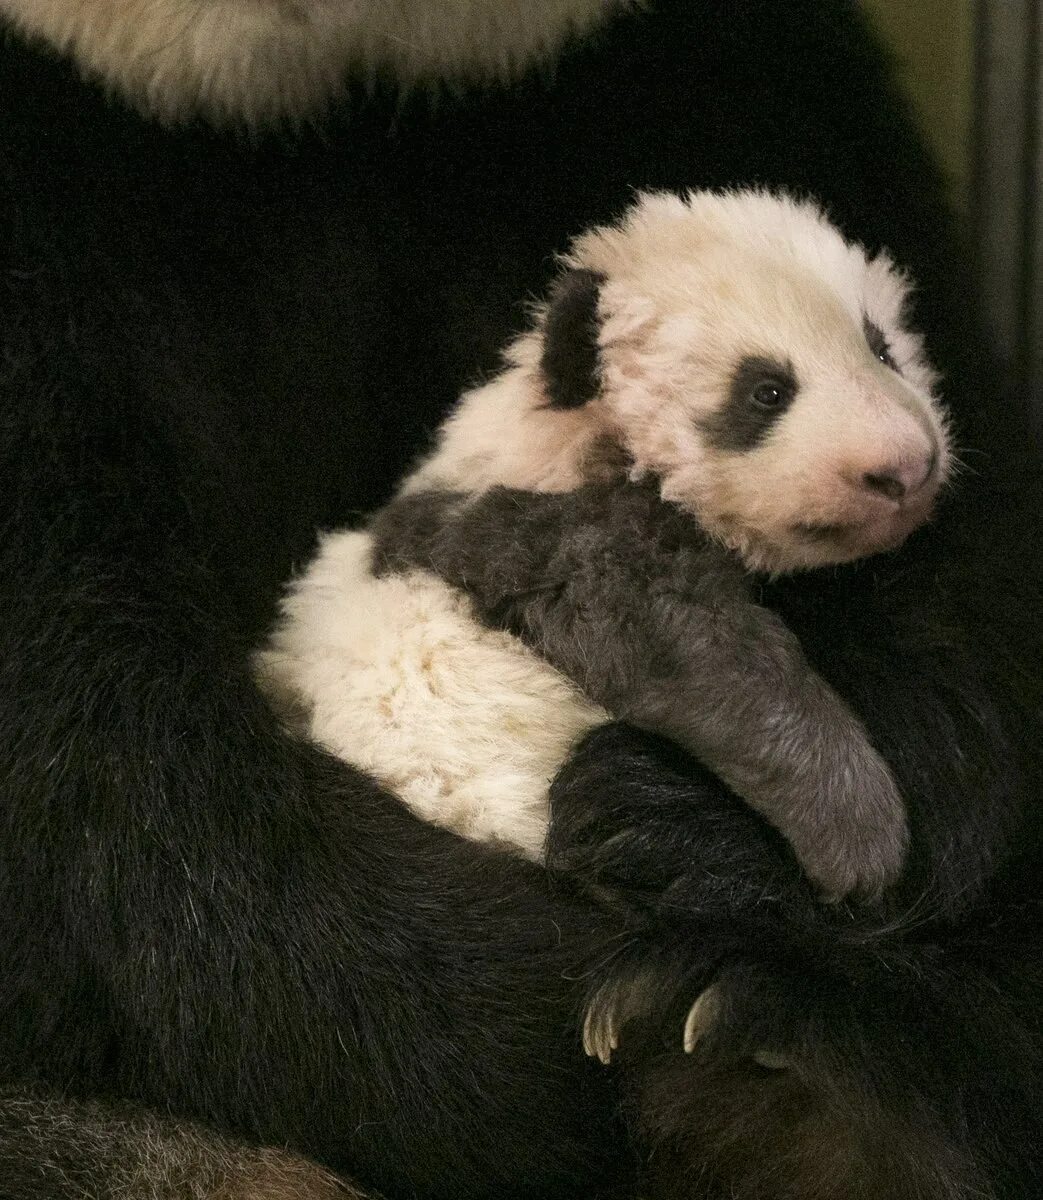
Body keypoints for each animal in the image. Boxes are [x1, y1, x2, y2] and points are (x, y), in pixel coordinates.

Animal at [0, 2, 1036, 1200]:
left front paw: (691, 835)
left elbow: (965, 623)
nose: (894, 467)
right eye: (759, 392)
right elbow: (91, 758)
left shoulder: (707, 79)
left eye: (881, 344)